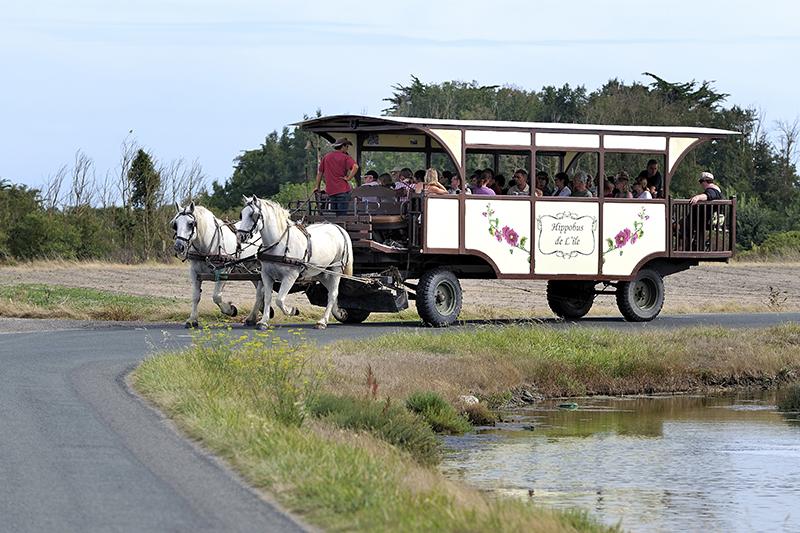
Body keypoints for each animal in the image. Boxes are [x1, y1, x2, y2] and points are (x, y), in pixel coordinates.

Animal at [234, 195, 354, 328]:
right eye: (241, 214)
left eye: (253, 215)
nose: (240, 237)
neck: (279, 243)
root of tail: (338, 228)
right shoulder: (266, 275)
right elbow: (267, 297)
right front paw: (264, 321)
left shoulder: (290, 276)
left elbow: (279, 300)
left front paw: (292, 311)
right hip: (321, 272)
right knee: (331, 292)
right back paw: (338, 313)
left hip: (336, 269)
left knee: (333, 293)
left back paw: (322, 321)